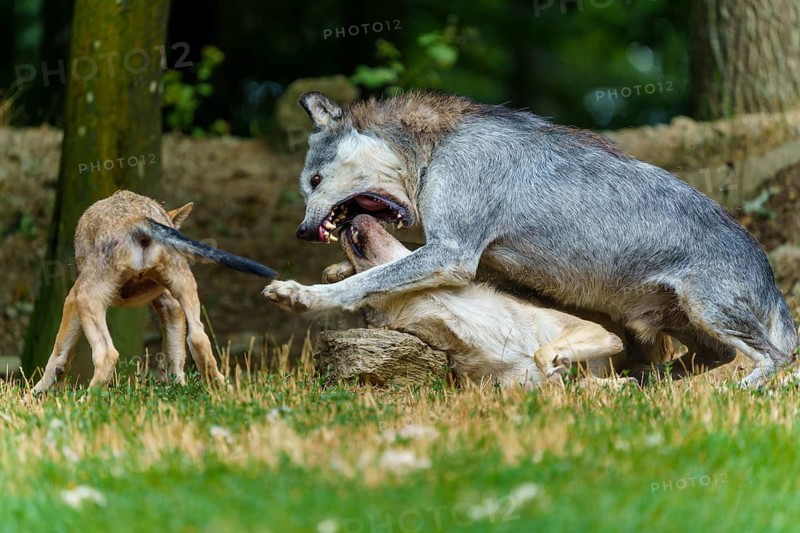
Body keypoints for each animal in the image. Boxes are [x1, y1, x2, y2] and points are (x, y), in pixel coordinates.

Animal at [32, 190, 277, 395]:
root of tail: (137, 219)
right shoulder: (169, 302)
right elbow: (175, 357)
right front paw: (176, 388)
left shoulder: (72, 297)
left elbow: (59, 353)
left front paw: (34, 395)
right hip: (185, 285)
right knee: (198, 338)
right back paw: (220, 388)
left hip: (87, 297)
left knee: (108, 354)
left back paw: (87, 402)